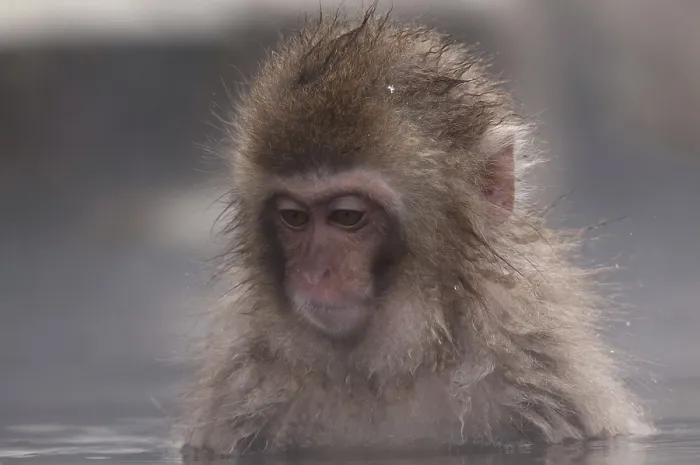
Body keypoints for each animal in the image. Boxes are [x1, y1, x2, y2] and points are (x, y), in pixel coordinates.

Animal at [180, 4, 652, 460]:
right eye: (294, 217)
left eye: (347, 216)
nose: (315, 273)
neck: (391, 368)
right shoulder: (239, 384)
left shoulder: (541, 368)